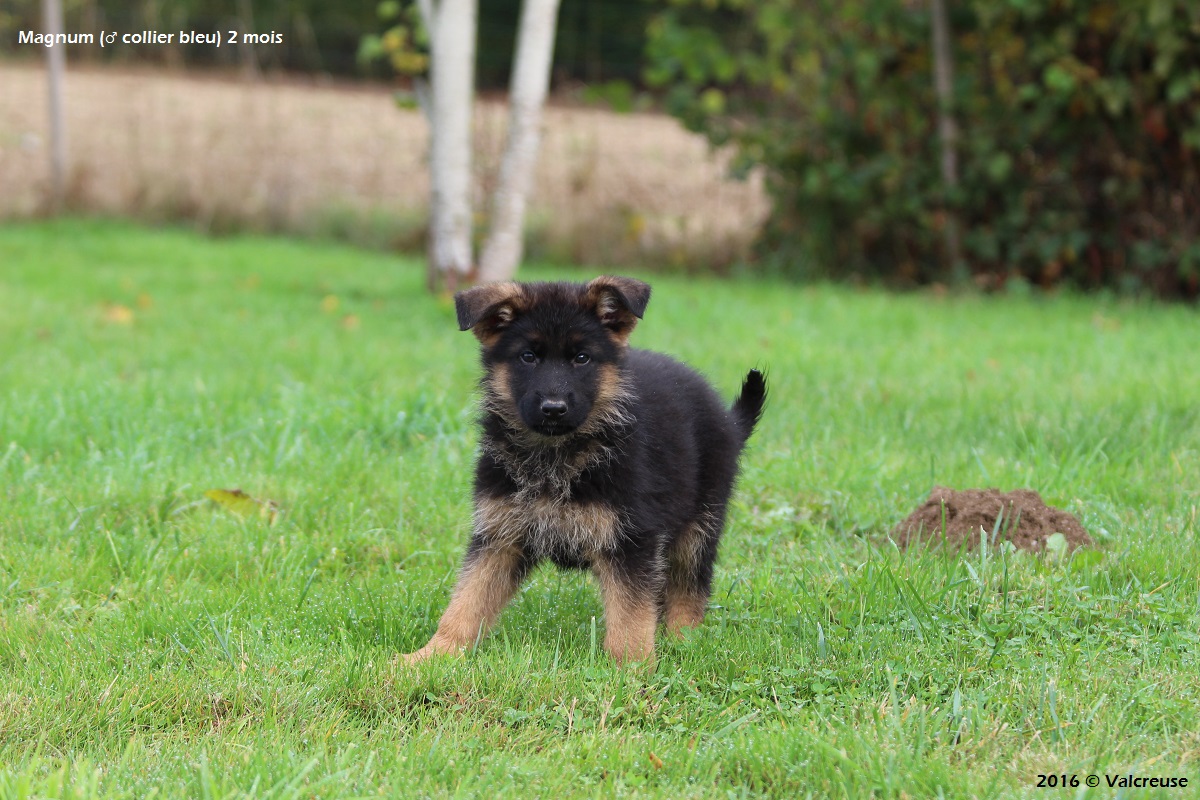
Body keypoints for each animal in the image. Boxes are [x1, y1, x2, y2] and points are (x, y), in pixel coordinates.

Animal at [404, 276, 765, 664]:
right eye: (528, 357)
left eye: (582, 358)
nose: (553, 408)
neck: (555, 454)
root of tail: (728, 421)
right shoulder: (499, 536)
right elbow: (467, 601)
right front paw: (430, 656)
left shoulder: (631, 539)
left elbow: (631, 615)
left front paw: (631, 667)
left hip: (699, 524)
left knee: (689, 586)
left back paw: (682, 640)